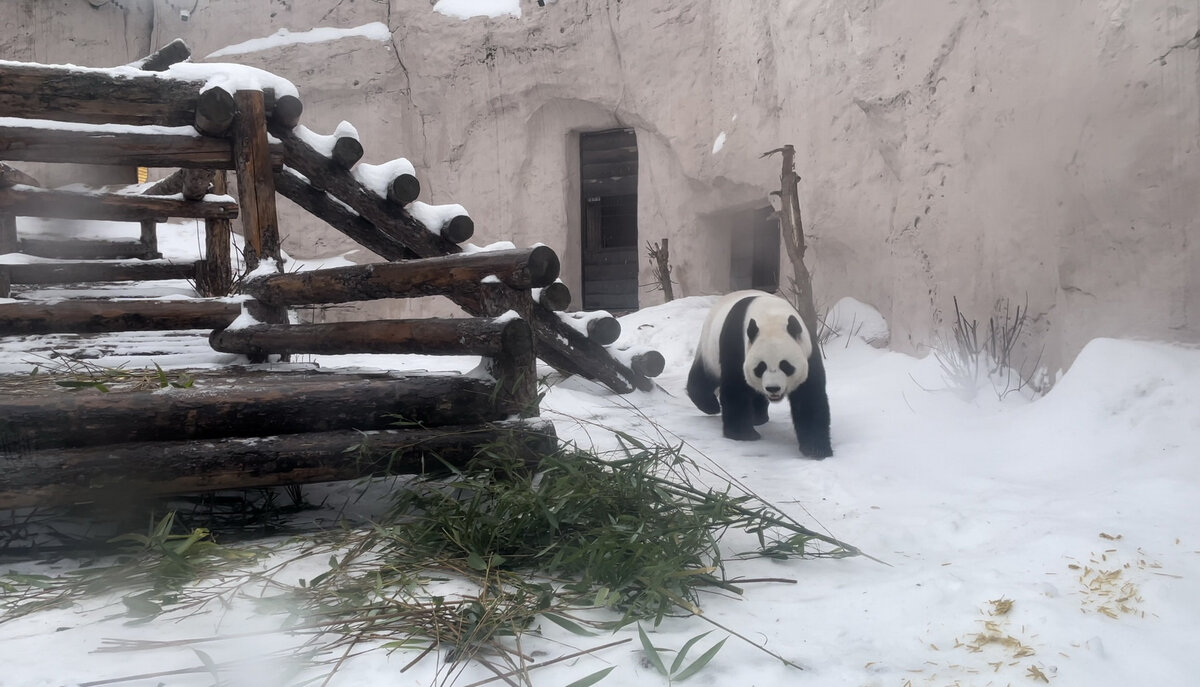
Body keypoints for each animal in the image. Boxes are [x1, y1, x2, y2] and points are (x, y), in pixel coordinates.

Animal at [691, 289, 830, 461]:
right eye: (760, 367)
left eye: (786, 366)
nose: (773, 388)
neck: (771, 316)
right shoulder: (736, 343)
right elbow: (735, 388)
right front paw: (743, 434)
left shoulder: (807, 350)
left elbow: (809, 397)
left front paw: (816, 449)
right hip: (709, 347)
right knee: (703, 378)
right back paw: (711, 406)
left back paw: (759, 417)